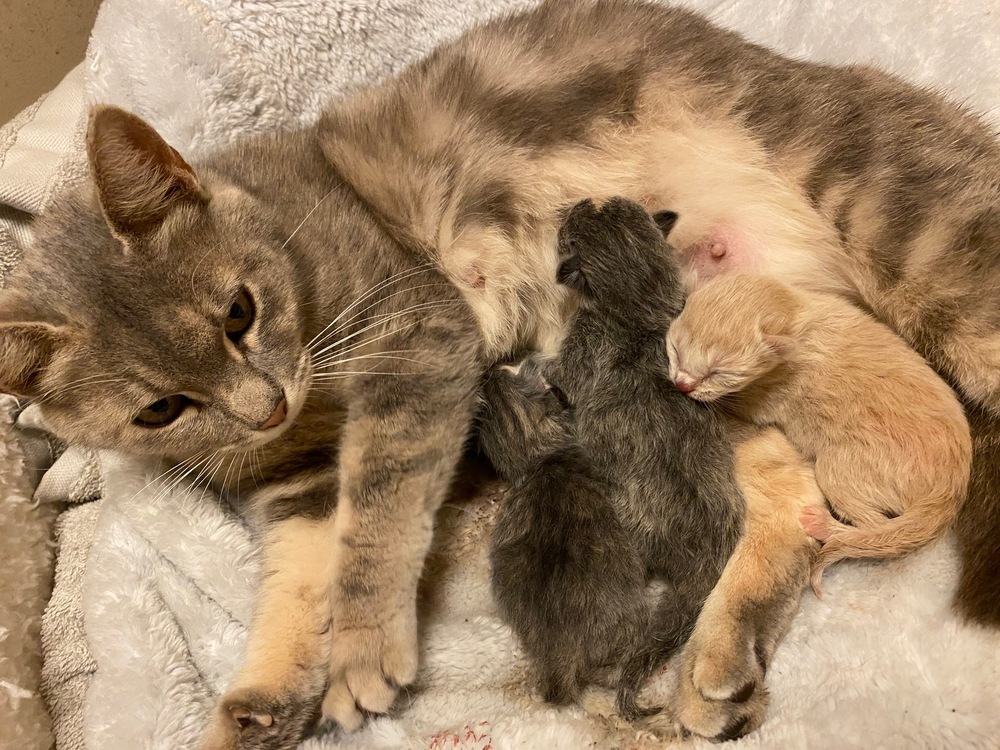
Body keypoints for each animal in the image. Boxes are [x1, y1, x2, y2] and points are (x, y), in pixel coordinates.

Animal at [480, 198, 748, 728]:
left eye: (568, 231)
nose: (572, 205)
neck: (638, 311)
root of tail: (706, 543)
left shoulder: (576, 353)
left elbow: (554, 371)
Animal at [668, 274, 972, 592]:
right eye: (675, 350)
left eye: (719, 372)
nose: (682, 385)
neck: (798, 316)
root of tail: (952, 490)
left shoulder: (769, 397)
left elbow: (733, 407)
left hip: (838, 471)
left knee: (874, 525)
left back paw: (825, 526)